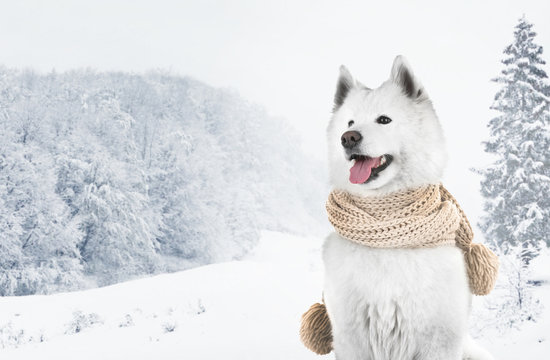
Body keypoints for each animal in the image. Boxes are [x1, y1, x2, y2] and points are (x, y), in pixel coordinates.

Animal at [324, 56, 496, 360]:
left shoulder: (439, 340)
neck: (388, 235)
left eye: (384, 120)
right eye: (350, 121)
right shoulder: (351, 337)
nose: (348, 137)